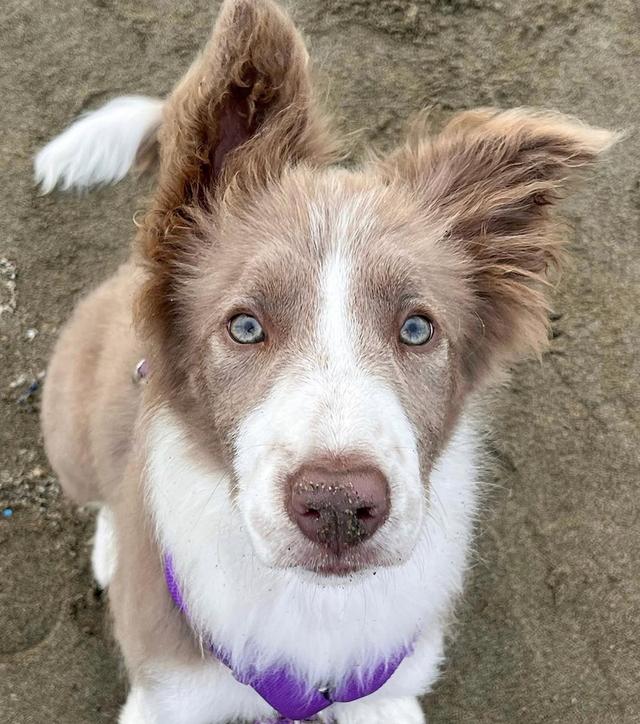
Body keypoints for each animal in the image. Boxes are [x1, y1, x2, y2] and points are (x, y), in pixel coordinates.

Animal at [35, 1, 616, 724]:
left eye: (418, 328)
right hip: (69, 425)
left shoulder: (389, 690)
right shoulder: (169, 694)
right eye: (245, 326)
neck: (314, 615)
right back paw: (113, 545)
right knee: (104, 490)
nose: (338, 505)